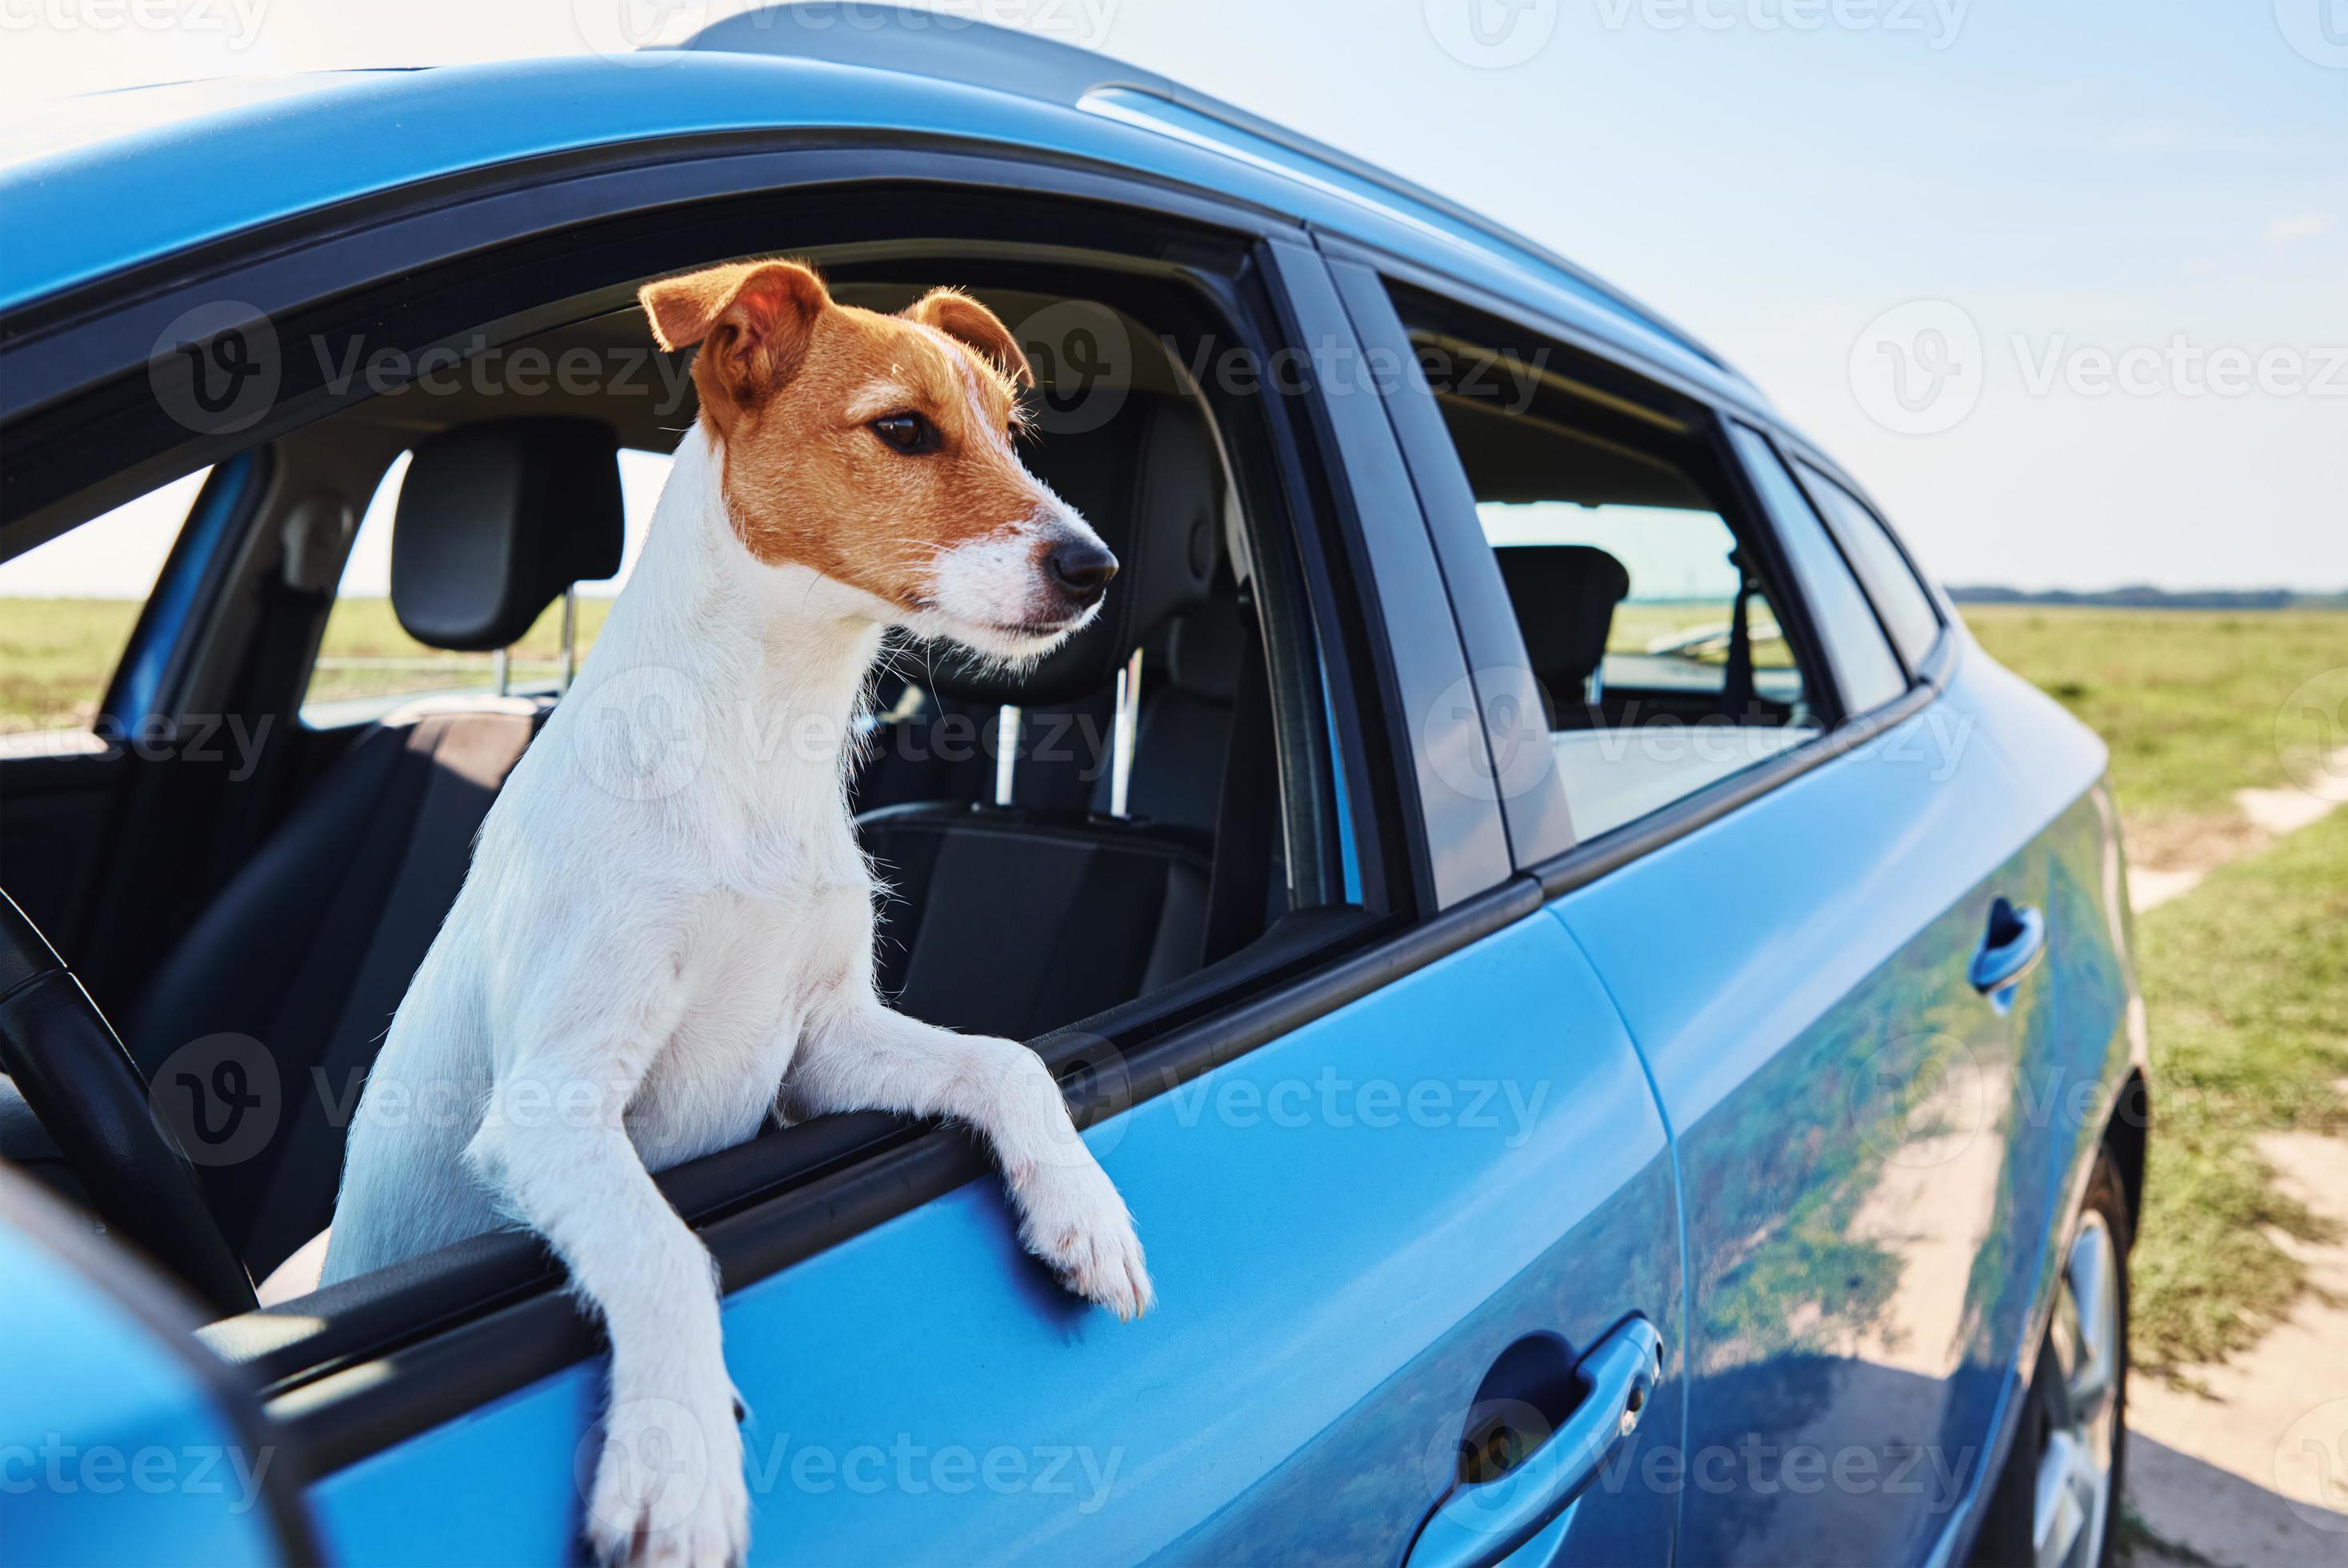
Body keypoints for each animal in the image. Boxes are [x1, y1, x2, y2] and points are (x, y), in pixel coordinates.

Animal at [317, 262, 1159, 1558]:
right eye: (903, 430)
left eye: (1012, 436)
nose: (1097, 570)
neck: (756, 731)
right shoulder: (555, 1103)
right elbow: (662, 1247)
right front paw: (677, 1461)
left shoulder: (818, 1041)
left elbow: (1006, 1059)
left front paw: (1085, 1210)